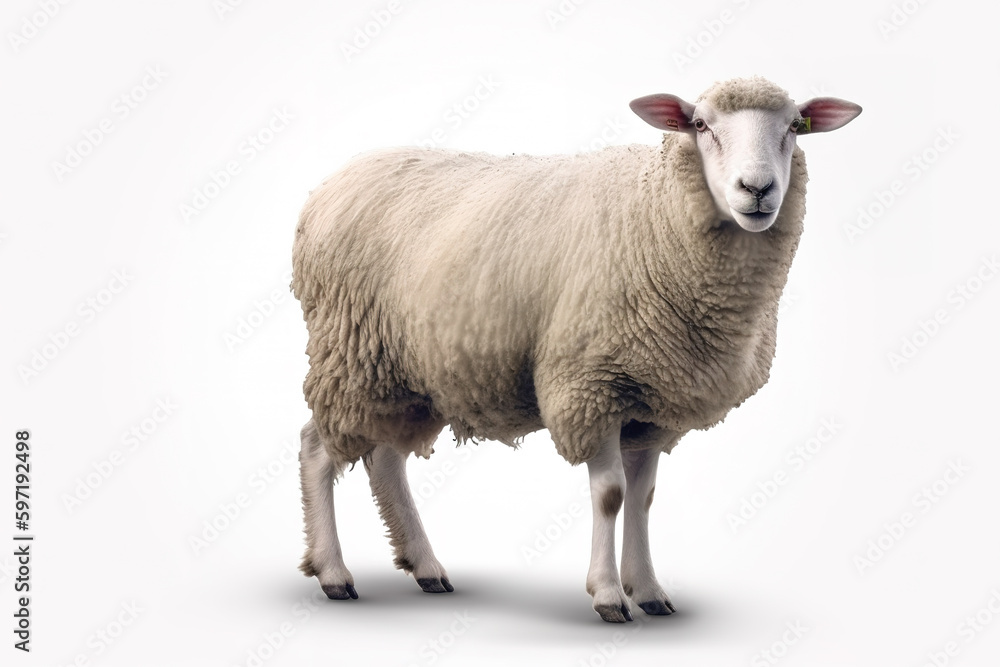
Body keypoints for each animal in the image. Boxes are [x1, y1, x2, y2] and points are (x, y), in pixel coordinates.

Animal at [291, 76, 861, 623]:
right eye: (700, 124)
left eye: (795, 127)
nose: (758, 189)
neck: (655, 213)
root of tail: (334, 182)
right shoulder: (593, 385)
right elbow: (610, 495)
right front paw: (608, 596)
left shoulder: (651, 401)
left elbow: (644, 498)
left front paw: (649, 590)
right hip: (350, 353)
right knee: (316, 448)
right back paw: (334, 573)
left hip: (403, 372)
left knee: (386, 458)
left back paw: (426, 566)